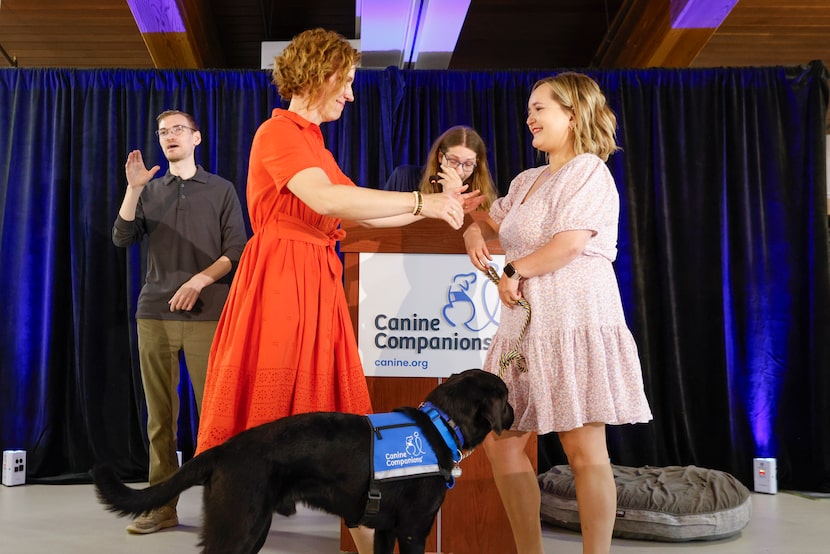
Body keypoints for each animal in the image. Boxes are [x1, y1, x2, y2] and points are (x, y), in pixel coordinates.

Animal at [96, 366, 512, 552]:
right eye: (506, 396)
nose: (515, 412)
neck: (441, 423)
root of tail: (223, 449)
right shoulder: (413, 529)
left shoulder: (386, 530)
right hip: (239, 526)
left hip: (252, 528)